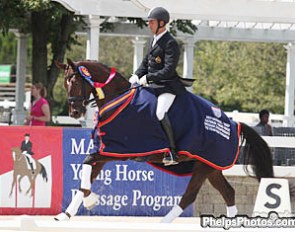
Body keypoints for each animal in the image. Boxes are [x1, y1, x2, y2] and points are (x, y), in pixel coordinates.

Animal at [53, 59, 276, 222]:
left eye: (74, 82)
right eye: (65, 83)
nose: (74, 112)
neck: (118, 100)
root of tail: (234, 123)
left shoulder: (117, 151)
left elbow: (87, 164)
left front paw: (90, 201)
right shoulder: (107, 151)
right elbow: (86, 176)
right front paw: (66, 214)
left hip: (204, 166)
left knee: (189, 196)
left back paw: (163, 223)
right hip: (210, 167)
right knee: (228, 192)